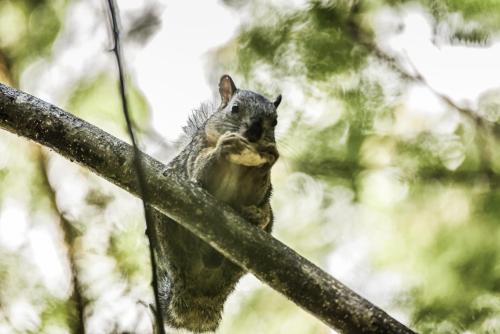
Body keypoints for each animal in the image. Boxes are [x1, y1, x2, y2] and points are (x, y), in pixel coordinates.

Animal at [151, 74, 282, 332]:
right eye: (235, 108)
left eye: (274, 121)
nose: (254, 132)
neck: (236, 164)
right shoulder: (195, 157)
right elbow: (200, 173)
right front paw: (224, 147)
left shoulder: (258, 191)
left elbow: (256, 192)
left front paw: (268, 159)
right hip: (165, 226)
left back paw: (255, 218)